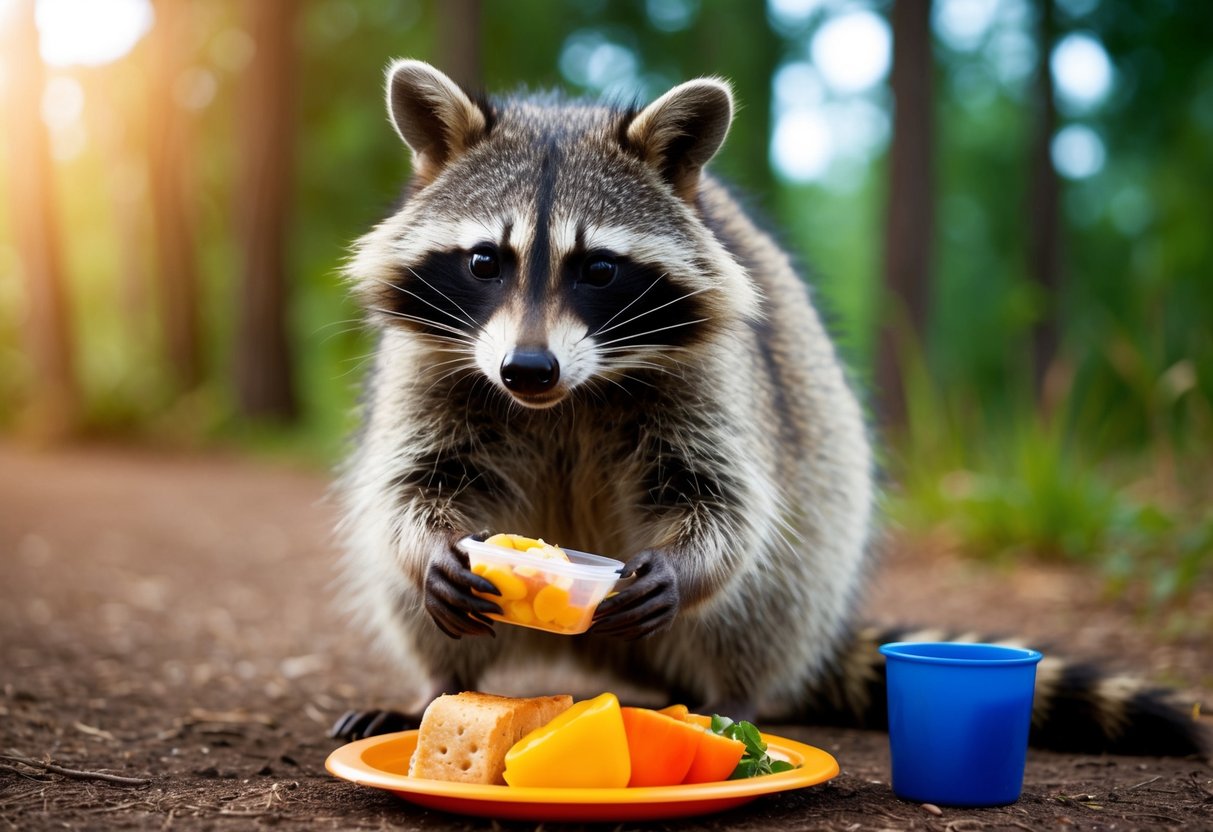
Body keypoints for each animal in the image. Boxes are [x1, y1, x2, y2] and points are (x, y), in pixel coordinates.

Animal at [331, 60, 1206, 758]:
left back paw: (728, 699)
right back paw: (437, 687)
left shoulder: (713, 376)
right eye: (486, 261)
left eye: (599, 269)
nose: (527, 369)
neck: (564, 397)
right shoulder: (434, 364)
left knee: (765, 591)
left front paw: (684, 566)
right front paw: (432, 548)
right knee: (403, 596)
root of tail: (611, 664)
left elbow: (727, 502)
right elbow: (413, 483)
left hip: (812, 520)